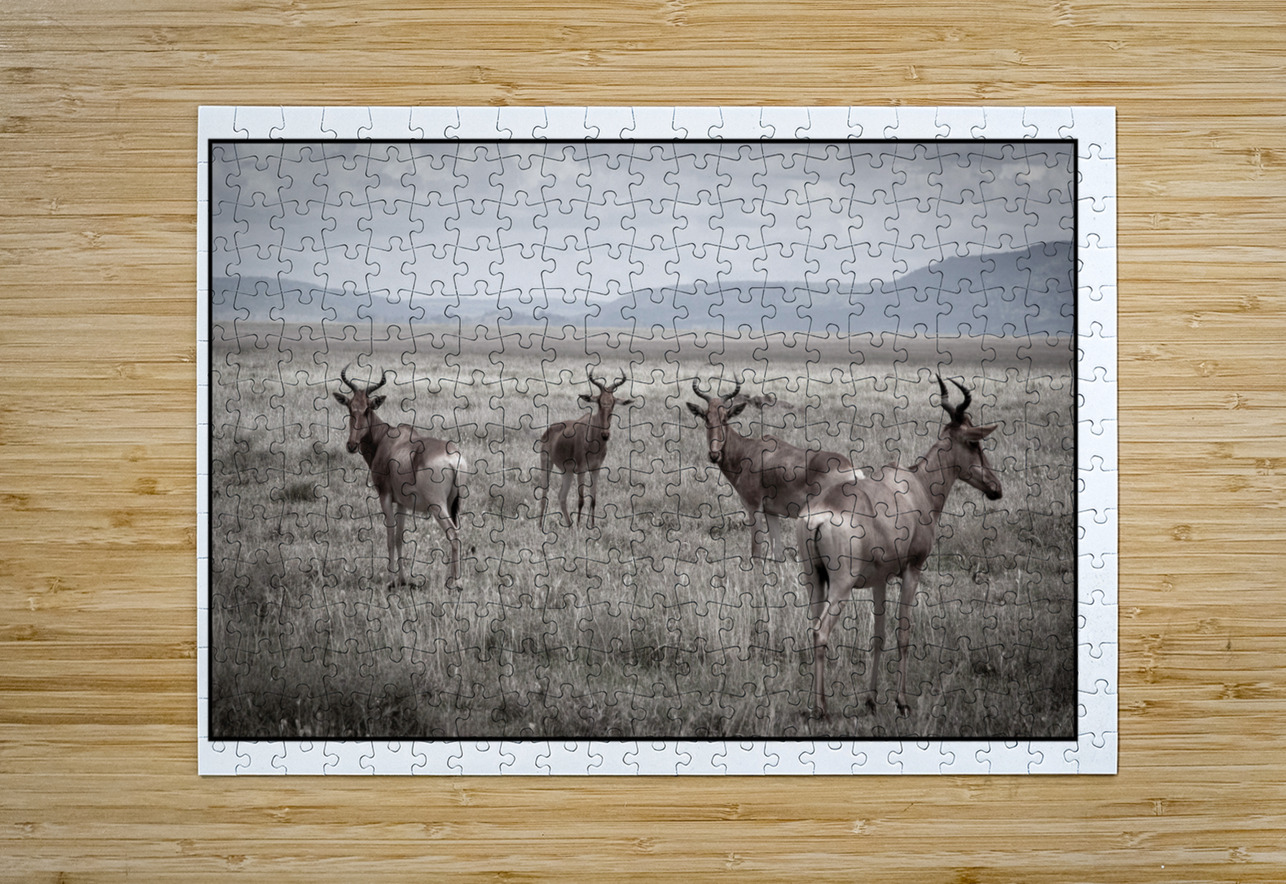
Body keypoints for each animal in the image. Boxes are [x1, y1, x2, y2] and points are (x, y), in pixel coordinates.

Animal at [333, 368, 466, 588]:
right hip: (452, 503)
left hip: (438, 505)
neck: (385, 440)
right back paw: (451, 579)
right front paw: (403, 580)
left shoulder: (385, 496)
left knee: (453, 534)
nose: (351, 445)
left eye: (368, 409)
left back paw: (455, 583)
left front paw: (391, 580)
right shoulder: (403, 503)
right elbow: (399, 538)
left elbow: (389, 537)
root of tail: (453, 458)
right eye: (351, 408)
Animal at [536, 370, 635, 530]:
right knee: (545, 494)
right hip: (546, 463)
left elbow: (593, 499)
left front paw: (592, 526)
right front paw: (579, 526)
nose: (605, 435)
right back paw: (541, 526)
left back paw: (569, 525)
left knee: (561, 496)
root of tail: (549, 430)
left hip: (567, 472)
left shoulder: (596, 469)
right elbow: (581, 500)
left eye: (613, 402)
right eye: (599, 402)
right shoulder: (581, 470)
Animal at [686, 377, 864, 561]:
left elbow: (756, 553)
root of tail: (852, 470)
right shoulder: (771, 512)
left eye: (725, 418)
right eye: (706, 418)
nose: (714, 455)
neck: (748, 451)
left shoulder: (754, 508)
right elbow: (777, 553)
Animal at [798, 375, 1003, 718]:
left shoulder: (879, 580)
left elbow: (878, 635)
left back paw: (815, 705)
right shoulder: (912, 569)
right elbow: (904, 633)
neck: (917, 486)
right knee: (820, 631)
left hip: (814, 578)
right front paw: (902, 702)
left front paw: (870, 700)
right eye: (974, 443)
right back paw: (822, 709)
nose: (995, 488)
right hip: (841, 584)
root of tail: (820, 514)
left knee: (812, 625)